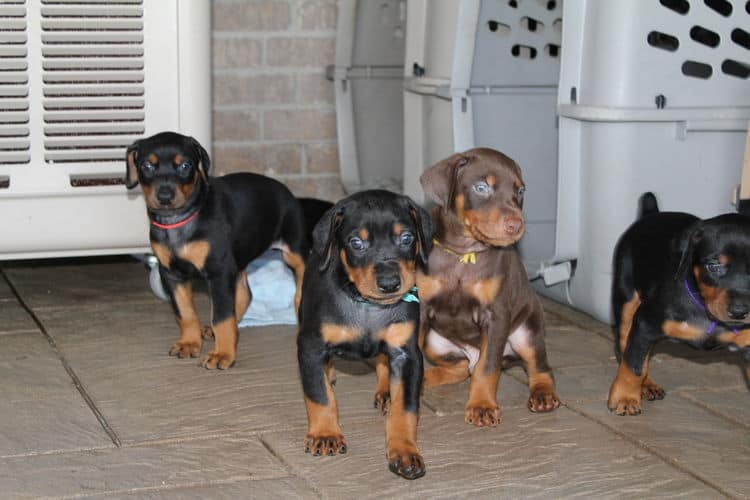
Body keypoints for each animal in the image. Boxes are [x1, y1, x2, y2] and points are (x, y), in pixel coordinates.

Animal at [125, 131, 324, 370]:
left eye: (185, 166)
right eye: (147, 165)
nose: (165, 196)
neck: (180, 221)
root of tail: (288, 193)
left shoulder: (219, 272)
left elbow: (221, 316)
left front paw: (222, 354)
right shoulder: (172, 274)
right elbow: (185, 312)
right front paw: (189, 343)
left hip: (294, 251)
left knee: (299, 289)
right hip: (238, 260)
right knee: (245, 294)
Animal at [296, 189, 432, 478]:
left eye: (407, 238)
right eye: (356, 243)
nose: (390, 283)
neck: (367, 306)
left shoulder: (408, 354)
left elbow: (405, 408)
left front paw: (404, 451)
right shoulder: (311, 346)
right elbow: (320, 395)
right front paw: (325, 434)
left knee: (382, 360)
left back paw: (386, 390)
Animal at [420, 147, 560, 426]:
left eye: (520, 191)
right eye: (481, 187)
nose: (516, 225)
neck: (464, 254)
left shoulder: (496, 316)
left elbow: (488, 369)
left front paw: (482, 406)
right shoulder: (418, 309)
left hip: (526, 332)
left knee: (538, 367)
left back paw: (543, 395)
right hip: (435, 342)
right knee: (462, 368)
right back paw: (430, 378)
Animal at [612, 191, 750, 414]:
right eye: (714, 265)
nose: (739, 312)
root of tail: (652, 213)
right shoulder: (645, 323)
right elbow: (634, 364)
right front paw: (624, 398)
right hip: (627, 298)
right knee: (626, 344)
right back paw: (644, 385)